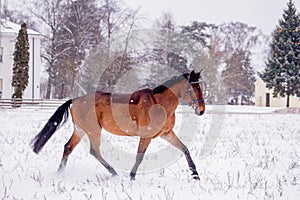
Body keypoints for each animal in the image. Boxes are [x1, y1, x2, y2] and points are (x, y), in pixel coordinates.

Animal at [31, 70, 205, 180]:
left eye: (200, 87)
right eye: (193, 88)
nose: (202, 110)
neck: (159, 103)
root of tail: (76, 99)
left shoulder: (166, 134)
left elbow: (185, 149)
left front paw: (195, 174)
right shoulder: (146, 136)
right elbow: (139, 156)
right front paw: (132, 176)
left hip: (80, 130)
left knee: (68, 147)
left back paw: (60, 173)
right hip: (93, 130)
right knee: (94, 151)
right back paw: (113, 172)